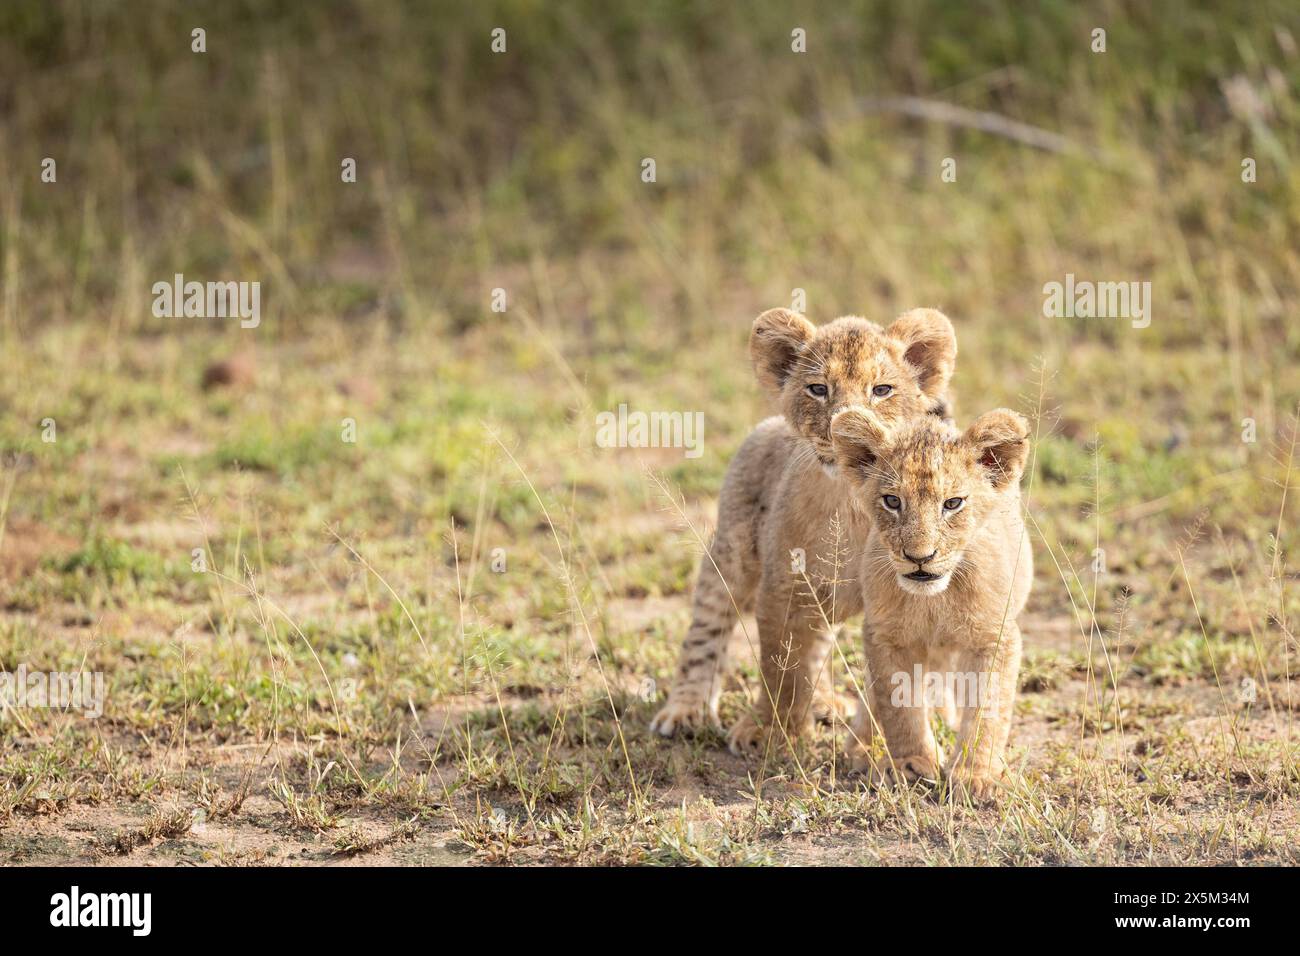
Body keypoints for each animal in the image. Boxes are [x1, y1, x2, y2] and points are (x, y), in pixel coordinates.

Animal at [649, 307, 958, 753]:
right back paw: (685, 710)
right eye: (818, 389)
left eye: (881, 390)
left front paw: (881, 745)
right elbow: (780, 667)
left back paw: (826, 704)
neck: (851, 507)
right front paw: (766, 732)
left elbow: (890, 682)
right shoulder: (783, 586)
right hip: (731, 555)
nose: (844, 428)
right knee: (708, 627)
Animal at [828, 404, 1032, 802]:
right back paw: (861, 748)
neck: (934, 601)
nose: (919, 557)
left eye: (952, 504)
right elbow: (898, 704)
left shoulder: (993, 635)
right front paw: (912, 765)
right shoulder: (885, 635)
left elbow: (987, 707)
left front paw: (975, 775)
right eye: (893, 501)